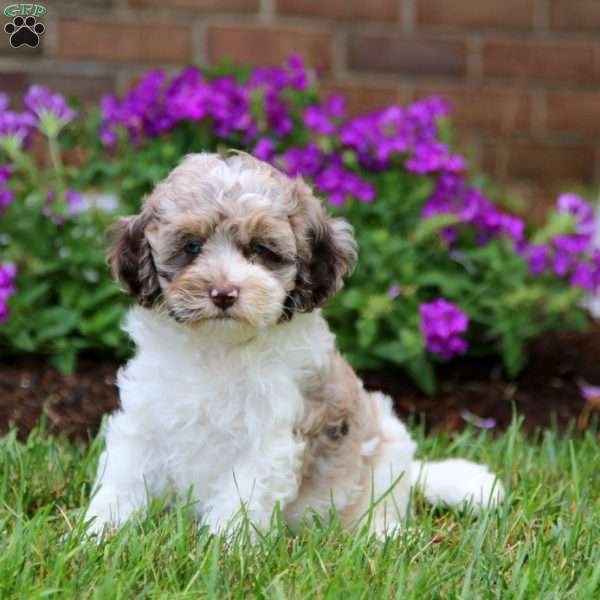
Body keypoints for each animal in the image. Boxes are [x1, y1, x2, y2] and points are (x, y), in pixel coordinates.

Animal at [84, 152, 504, 536]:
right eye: (192, 247)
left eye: (260, 250)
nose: (224, 292)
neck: (220, 346)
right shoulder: (145, 417)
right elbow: (125, 478)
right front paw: (100, 533)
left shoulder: (268, 436)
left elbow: (241, 498)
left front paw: (224, 551)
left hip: (385, 454)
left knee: (379, 505)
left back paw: (379, 535)